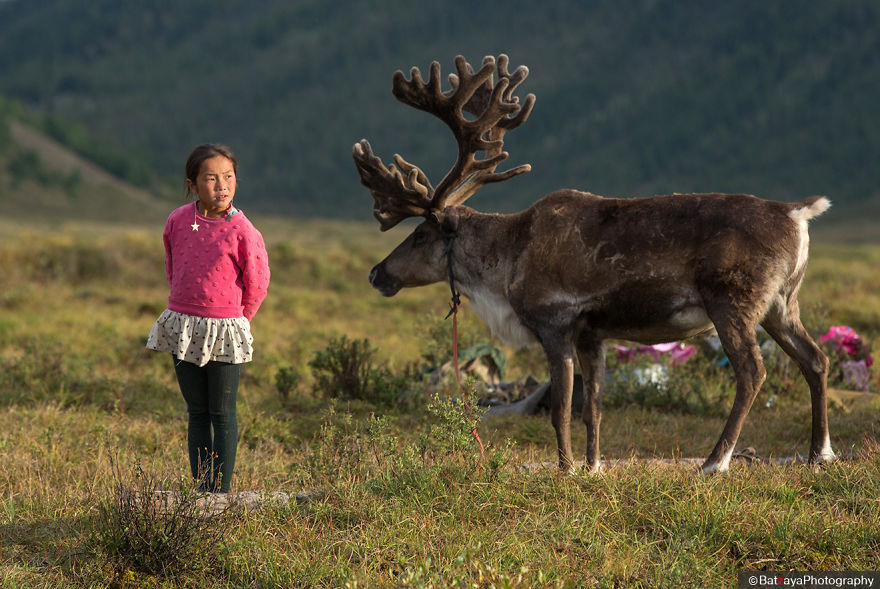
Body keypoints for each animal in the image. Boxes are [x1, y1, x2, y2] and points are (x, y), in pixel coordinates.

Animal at [352, 54, 836, 475]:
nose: (377, 274)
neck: (508, 260)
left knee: (752, 371)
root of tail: (797, 213)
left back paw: (715, 462)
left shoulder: (555, 325)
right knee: (815, 359)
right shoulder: (593, 333)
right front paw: (593, 466)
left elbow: (562, 409)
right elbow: (595, 409)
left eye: (420, 234)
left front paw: (566, 469)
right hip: (781, 305)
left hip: (733, 303)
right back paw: (819, 454)